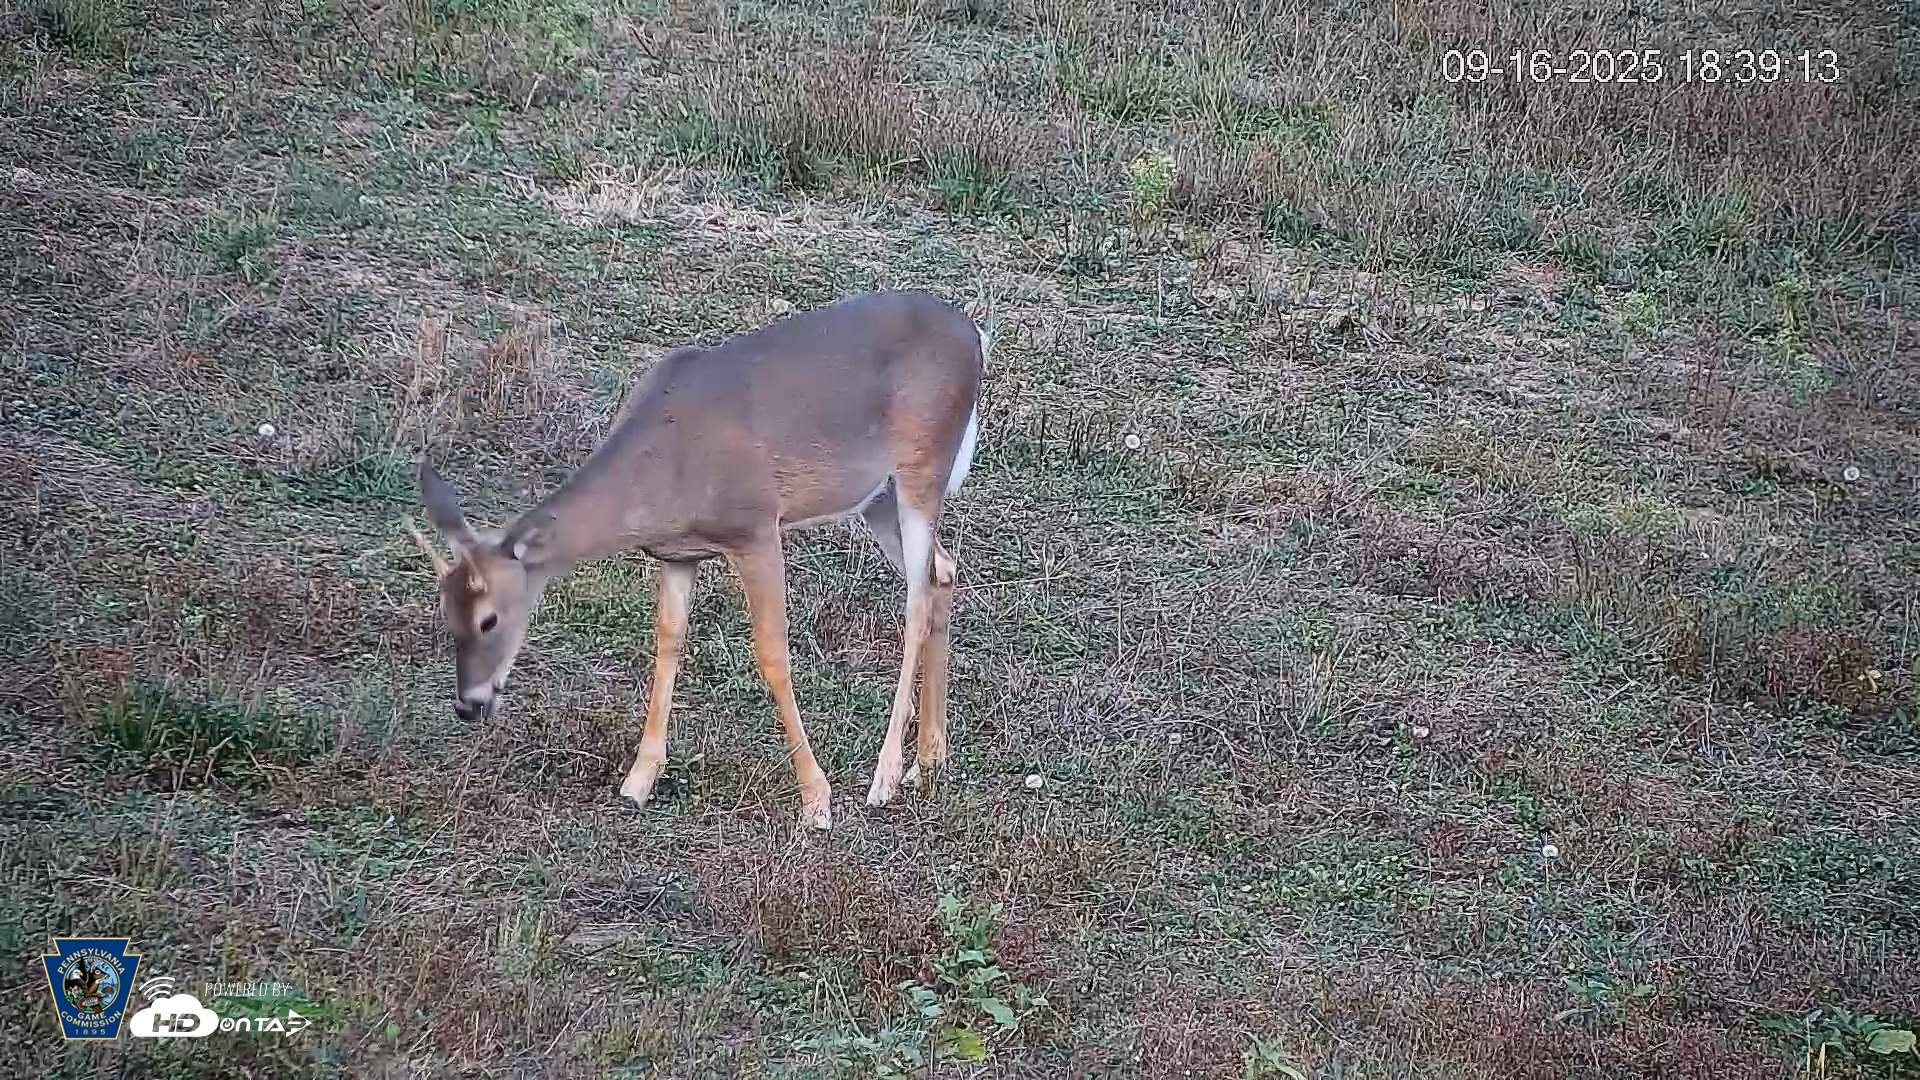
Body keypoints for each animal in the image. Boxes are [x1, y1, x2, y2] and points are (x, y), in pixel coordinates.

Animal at [406, 289, 991, 830]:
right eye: (445, 613)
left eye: (489, 619)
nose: (468, 703)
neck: (664, 470)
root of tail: (975, 336)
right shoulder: (678, 554)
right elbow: (668, 640)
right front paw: (639, 779)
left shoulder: (754, 527)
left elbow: (772, 654)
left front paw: (817, 800)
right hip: (878, 498)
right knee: (942, 570)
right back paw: (929, 761)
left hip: (922, 465)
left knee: (916, 601)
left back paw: (886, 777)